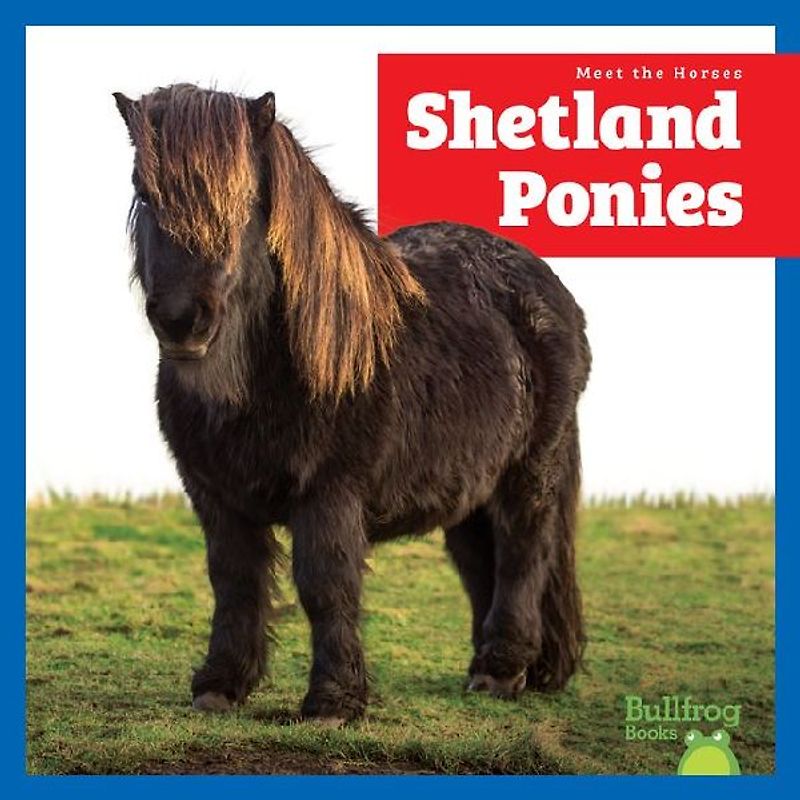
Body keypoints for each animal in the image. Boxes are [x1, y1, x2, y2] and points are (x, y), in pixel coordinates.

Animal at [113, 84, 591, 725]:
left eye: (245, 198)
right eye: (145, 191)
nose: (182, 321)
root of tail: (547, 286)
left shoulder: (330, 492)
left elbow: (326, 585)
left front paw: (332, 701)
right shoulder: (216, 496)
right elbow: (234, 581)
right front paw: (222, 684)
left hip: (528, 473)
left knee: (524, 552)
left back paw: (501, 668)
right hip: (470, 487)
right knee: (478, 560)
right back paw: (489, 667)